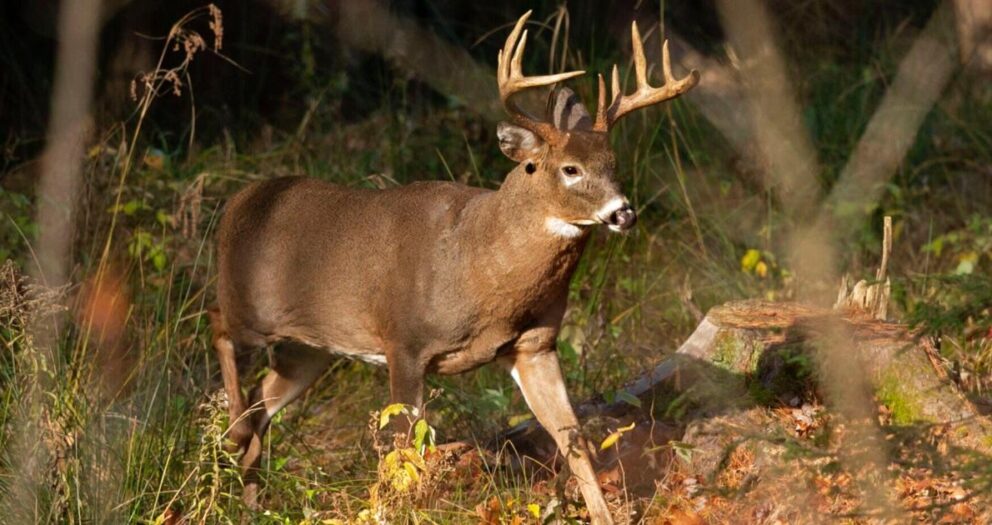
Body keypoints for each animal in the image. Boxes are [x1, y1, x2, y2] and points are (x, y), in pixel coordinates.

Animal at [210, 11, 697, 523]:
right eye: (570, 169)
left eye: (613, 163)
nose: (624, 213)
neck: (479, 269)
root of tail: (237, 203)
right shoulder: (404, 340)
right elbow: (405, 451)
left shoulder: (535, 345)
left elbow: (573, 437)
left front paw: (604, 514)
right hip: (250, 306)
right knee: (218, 325)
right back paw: (235, 441)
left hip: (310, 347)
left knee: (262, 401)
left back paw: (248, 500)